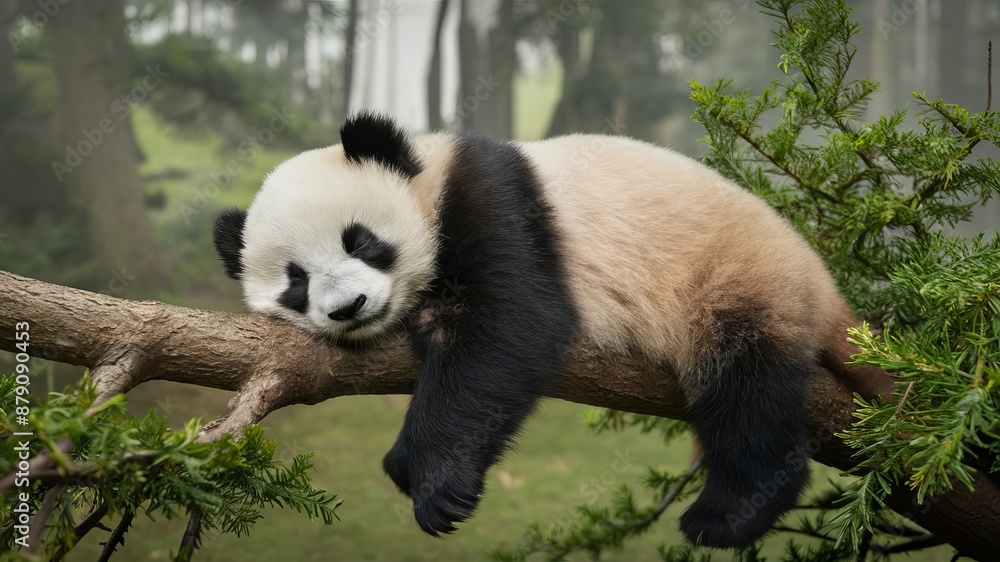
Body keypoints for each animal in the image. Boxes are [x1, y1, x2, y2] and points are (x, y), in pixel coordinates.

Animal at [212, 112, 864, 549]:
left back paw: (729, 512)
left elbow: (508, 329)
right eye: (295, 282)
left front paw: (434, 481)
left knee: (746, 385)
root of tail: (824, 287)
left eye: (362, 241)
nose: (348, 307)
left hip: (736, 279)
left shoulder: (492, 199)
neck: (428, 175)